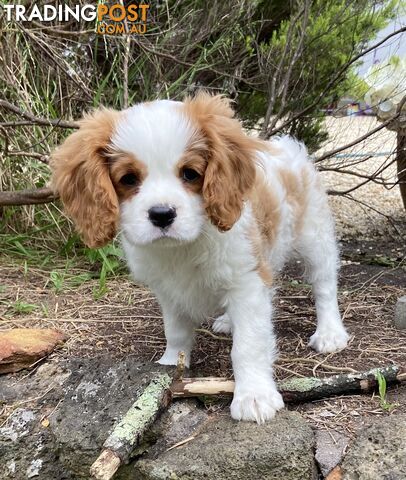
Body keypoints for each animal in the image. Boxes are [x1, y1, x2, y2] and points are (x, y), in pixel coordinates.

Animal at [50, 92, 348, 422]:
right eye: (128, 179)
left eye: (190, 174)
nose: (162, 214)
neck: (183, 247)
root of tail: (285, 145)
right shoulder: (169, 292)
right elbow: (176, 331)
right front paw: (170, 365)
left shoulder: (247, 282)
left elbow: (249, 344)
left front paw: (254, 395)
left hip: (314, 236)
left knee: (324, 285)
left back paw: (330, 332)